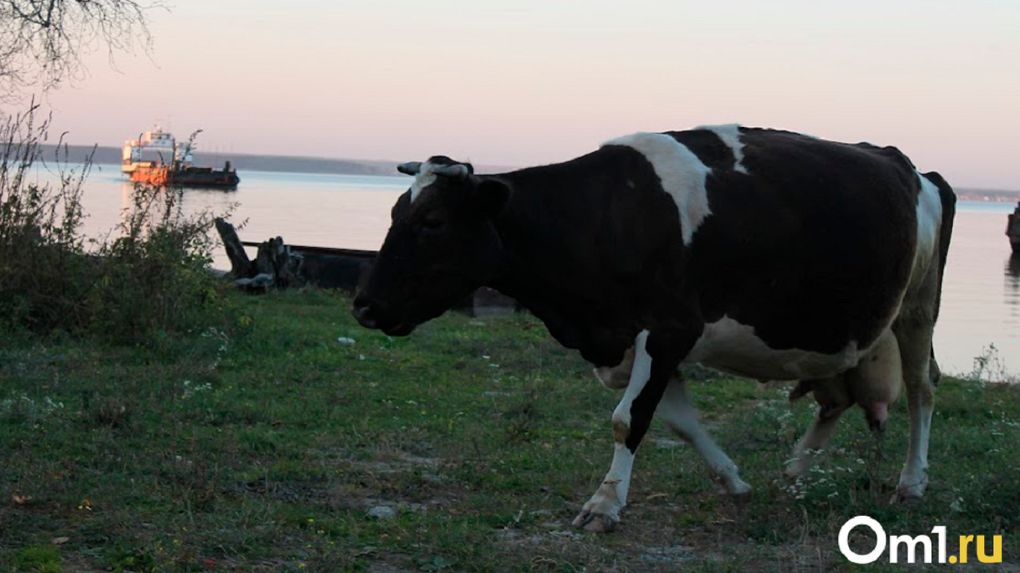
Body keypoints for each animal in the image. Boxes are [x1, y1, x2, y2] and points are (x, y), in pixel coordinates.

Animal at [352, 124, 954, 530]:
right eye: (393, 216)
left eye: (432, 222)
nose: (364, 306)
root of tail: (914, 168)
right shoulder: (634, 341)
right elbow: (679, 422)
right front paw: (735, 482)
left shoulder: (669, 327)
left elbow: (629, 420)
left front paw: (603, 505)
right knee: (837, 399)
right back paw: (793, 472)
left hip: (918, 306)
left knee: (922, 389)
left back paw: (912, 484)